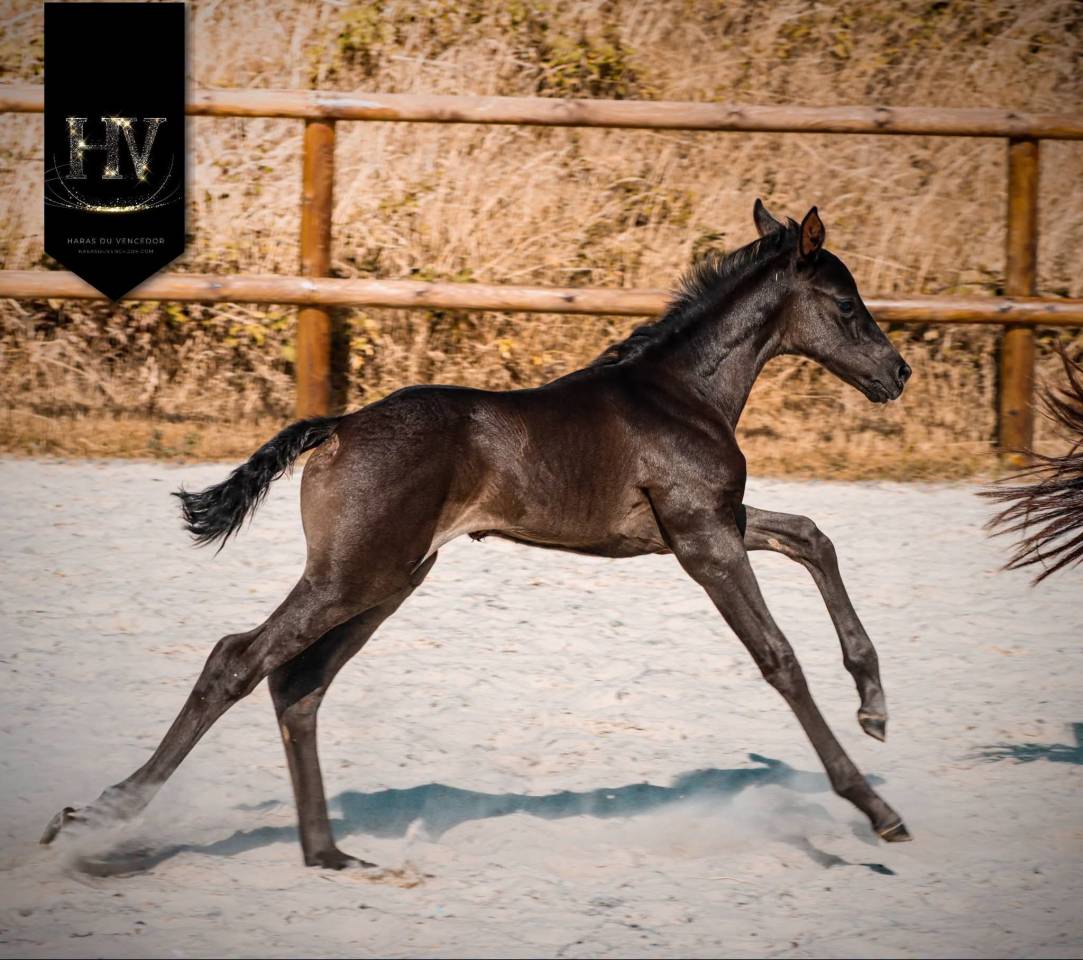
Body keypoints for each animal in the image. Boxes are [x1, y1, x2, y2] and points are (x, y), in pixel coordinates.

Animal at [42, 200, 914, 869]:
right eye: (845, 306)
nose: (896, 373)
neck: (682, 393)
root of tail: (338, 427)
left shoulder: (712, 523)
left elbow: (811, 535)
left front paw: (874, 704)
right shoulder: (702, 540)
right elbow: (778, 658)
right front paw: (876, 808)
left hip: (389, 580)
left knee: (298, 684)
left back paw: (327, 853)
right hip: (351, 576)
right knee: (237, 659)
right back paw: (99, 813)